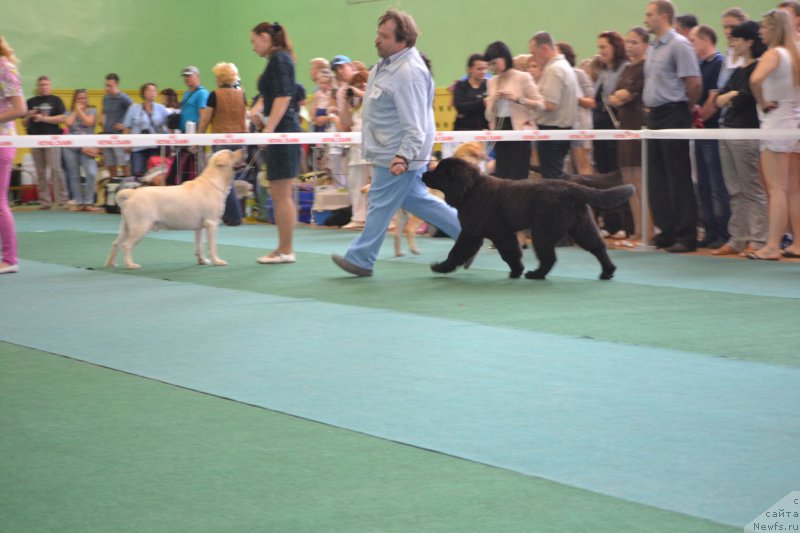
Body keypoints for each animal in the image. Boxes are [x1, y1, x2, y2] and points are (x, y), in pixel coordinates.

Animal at [106, 148, 244, 268]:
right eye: (231, 154)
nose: (243, 150)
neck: (214, 182)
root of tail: (132, 193)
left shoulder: (200, 227)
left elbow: (199, 246)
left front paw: (202, 261)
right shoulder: (212, 223)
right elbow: (212, 246)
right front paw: (217, 261)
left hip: (126, 227)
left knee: (115, 244)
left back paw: (111, 264)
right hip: (140, 227)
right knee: (126, 245)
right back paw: (130, 265)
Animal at [422, 157, 636, 278]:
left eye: (439, 172)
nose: (423, 174)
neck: (471, 190)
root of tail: (571, 187)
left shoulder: (498, 233)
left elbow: (508, 253)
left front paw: (517, 271)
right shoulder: (471, 233)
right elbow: (457, 252)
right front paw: (442, 267)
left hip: (543, 230)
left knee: (549, 257)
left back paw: (536, 275)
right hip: (581, 225)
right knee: (597, 247)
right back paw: (607, 272)